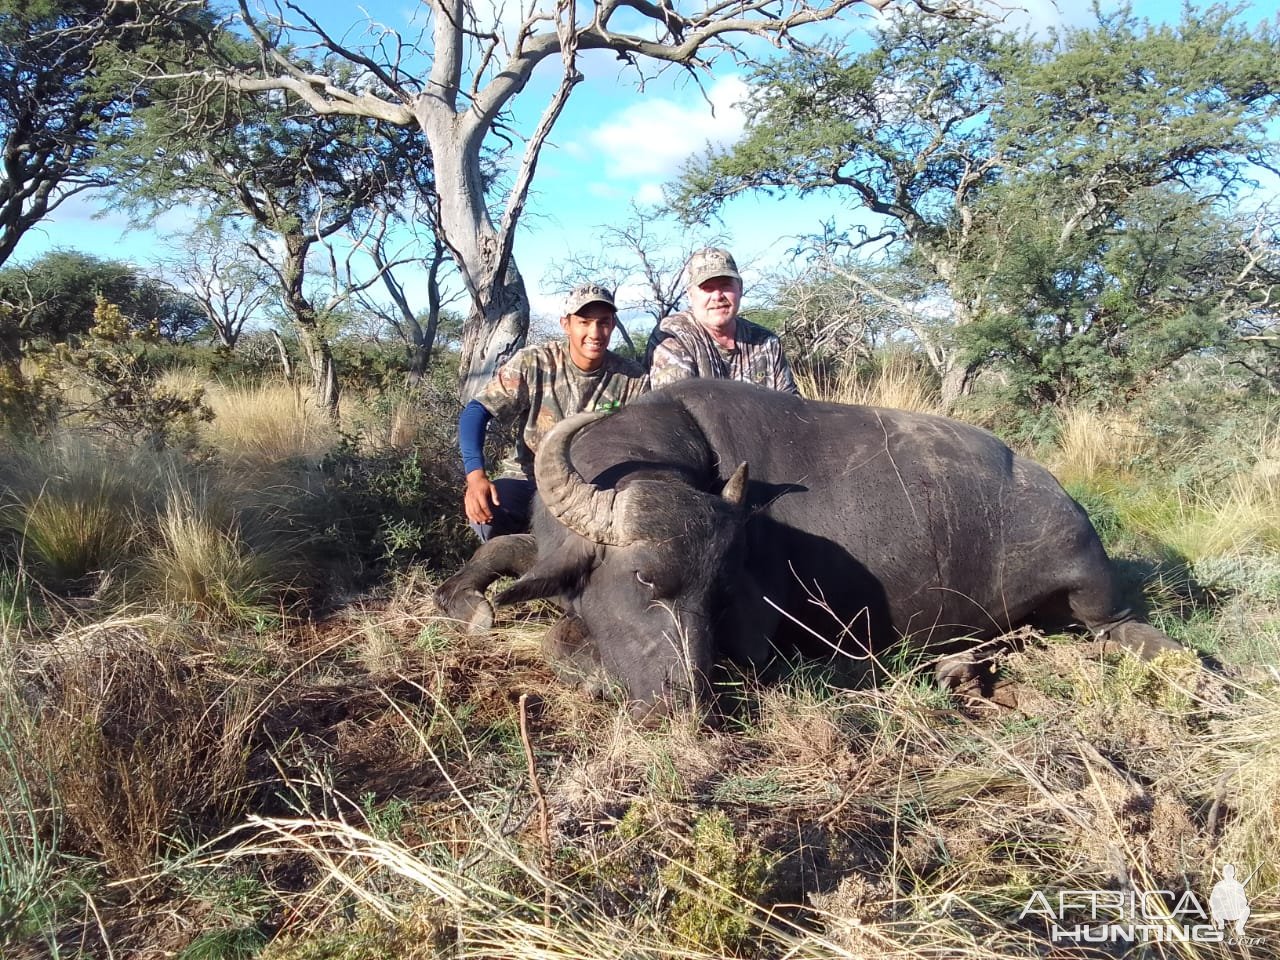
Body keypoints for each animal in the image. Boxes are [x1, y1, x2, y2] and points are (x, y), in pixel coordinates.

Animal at [435, 378, 1182, 716]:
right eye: (645, 578)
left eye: (719, 589)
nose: (687, 702)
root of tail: (1060, 495)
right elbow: (493, 560)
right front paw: (469, 603)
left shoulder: (756, 642)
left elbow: (564, 644)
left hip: (1094, 599)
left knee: (1126, 629)